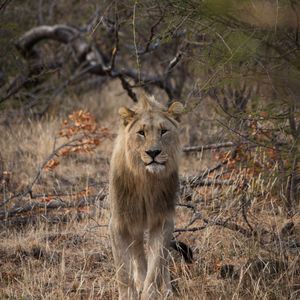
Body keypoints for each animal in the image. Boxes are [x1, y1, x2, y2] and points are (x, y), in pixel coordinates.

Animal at [108, 94, 183, 300]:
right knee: (137, 251)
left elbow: (156, 264)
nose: (153, 152)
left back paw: (166, 290)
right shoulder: (119, 222)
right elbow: (123, 272)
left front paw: (150, 293)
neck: (146, 180)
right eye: (141, 133)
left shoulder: (163, 220)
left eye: (163, 131)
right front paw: (130, 294)